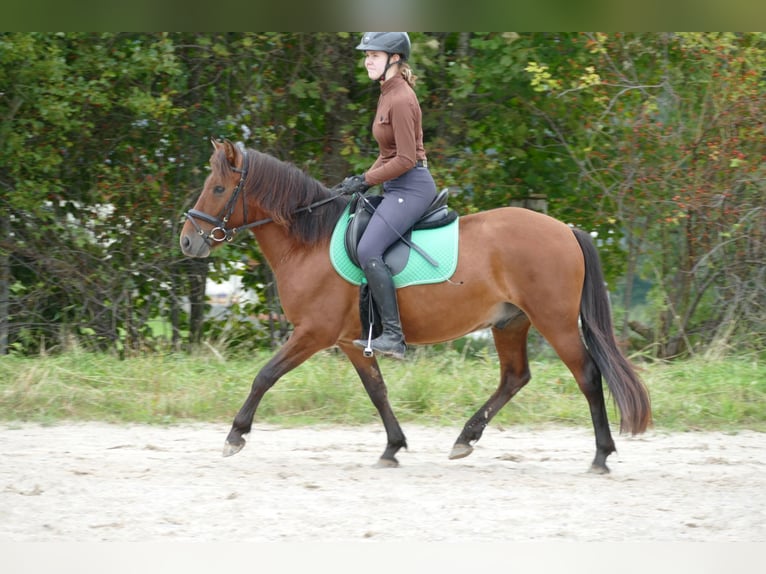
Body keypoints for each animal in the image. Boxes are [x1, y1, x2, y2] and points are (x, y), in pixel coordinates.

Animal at [180, 138, 656, 472]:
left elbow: (265, 375)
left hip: (553, 321)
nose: (188, 241)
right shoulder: (351, 341)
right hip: (510, 322)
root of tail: (566, 229)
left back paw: (601, 455)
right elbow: (377, 390)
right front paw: (392, 447)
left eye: (218, 188)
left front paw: (235, 435)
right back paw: (465, 438)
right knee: (515, 377)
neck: (309, 242)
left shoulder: (314, 333)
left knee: (588, 375)